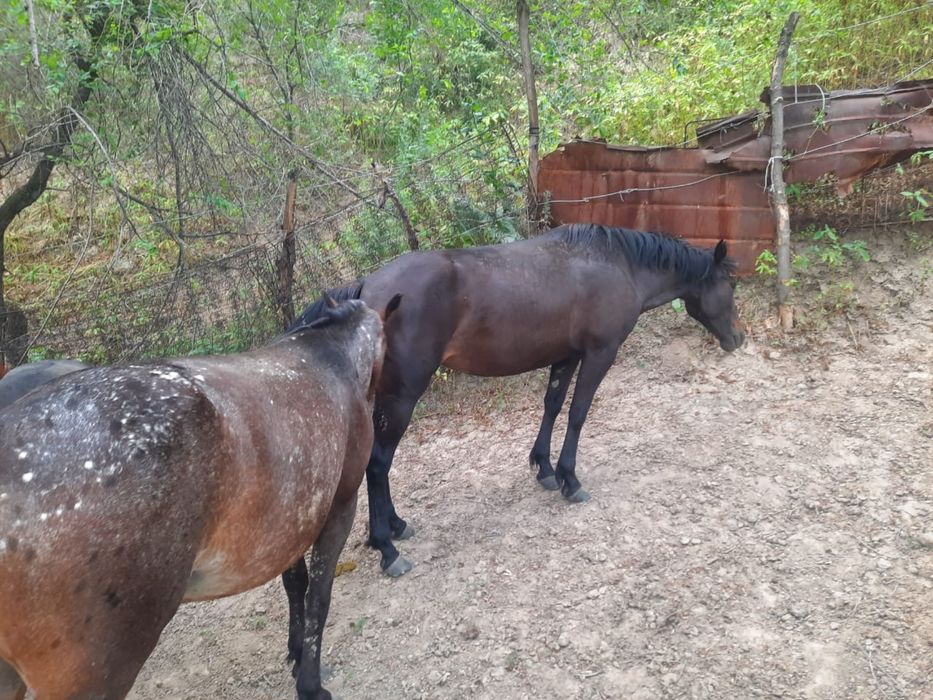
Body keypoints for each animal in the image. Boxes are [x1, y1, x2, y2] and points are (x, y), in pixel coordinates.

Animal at [0, 295, 399, 700]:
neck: (325, 358)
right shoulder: (339, 508)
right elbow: (318, 596)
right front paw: (311, 683)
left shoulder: (291, 523)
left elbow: (296, 584)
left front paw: (296, 650)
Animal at [278, 223, 745, 646]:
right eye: (730, 284)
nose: (738, 339)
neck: (618, 265)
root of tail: (365, 289)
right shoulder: (600, 353)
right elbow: (578, 414)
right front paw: (570, 479)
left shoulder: (567, 355)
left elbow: (553, 406)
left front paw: (545, 469)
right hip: (403, 394)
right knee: (378, 464)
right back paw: (387, 548)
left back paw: (397, 525)